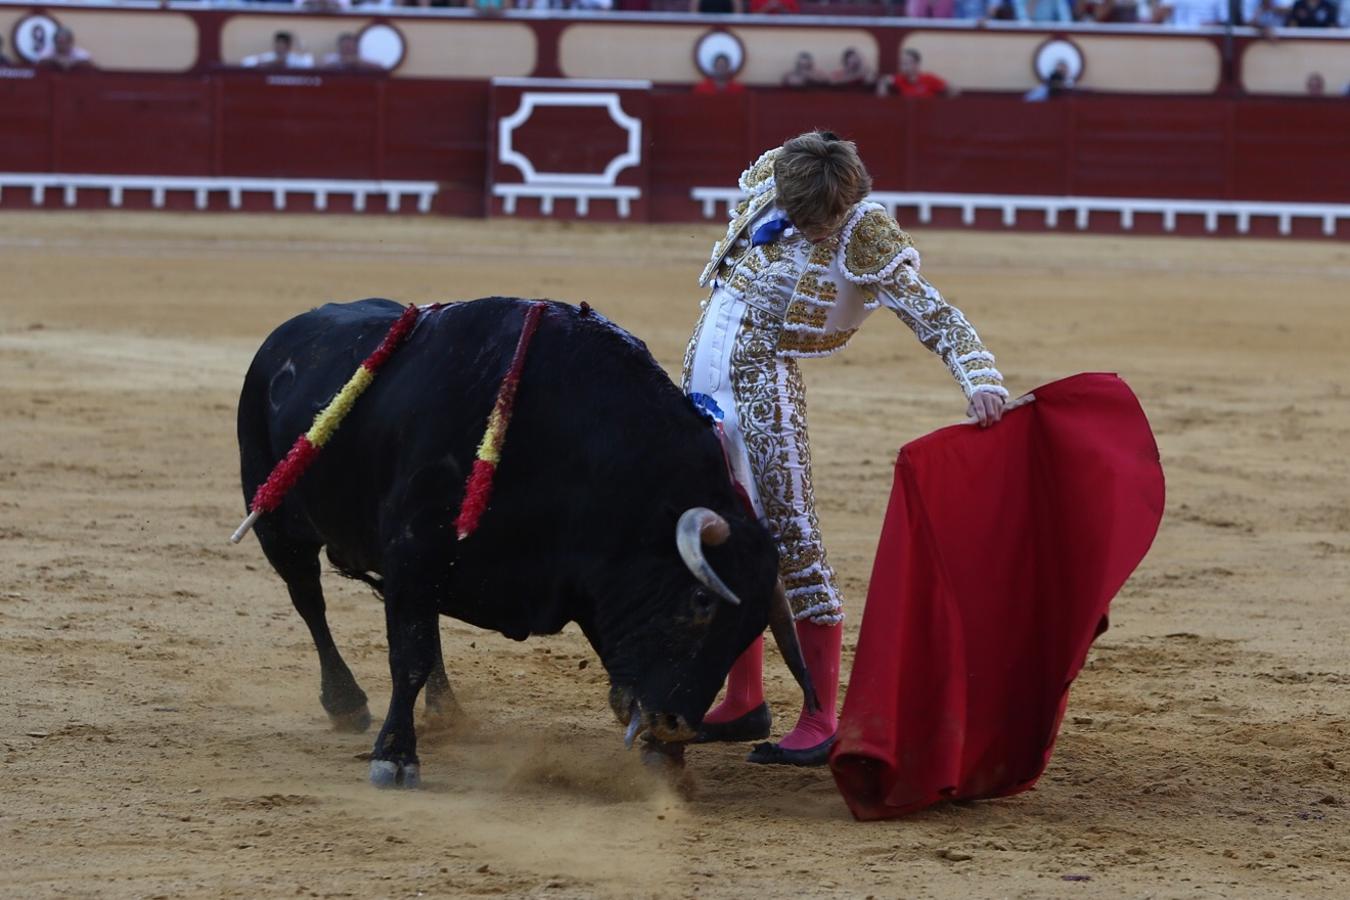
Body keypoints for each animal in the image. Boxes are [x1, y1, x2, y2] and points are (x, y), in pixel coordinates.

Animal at [237, 296, 815, 788]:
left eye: (751, 630)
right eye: (700, 601)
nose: (676, 724)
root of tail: (284, 335)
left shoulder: (585, 579)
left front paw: (663, 759)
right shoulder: (414, 552)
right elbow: (408, 657)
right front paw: (395, 758)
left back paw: (446, 709)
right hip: (276, 525)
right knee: (311, 603)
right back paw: (346, 702)